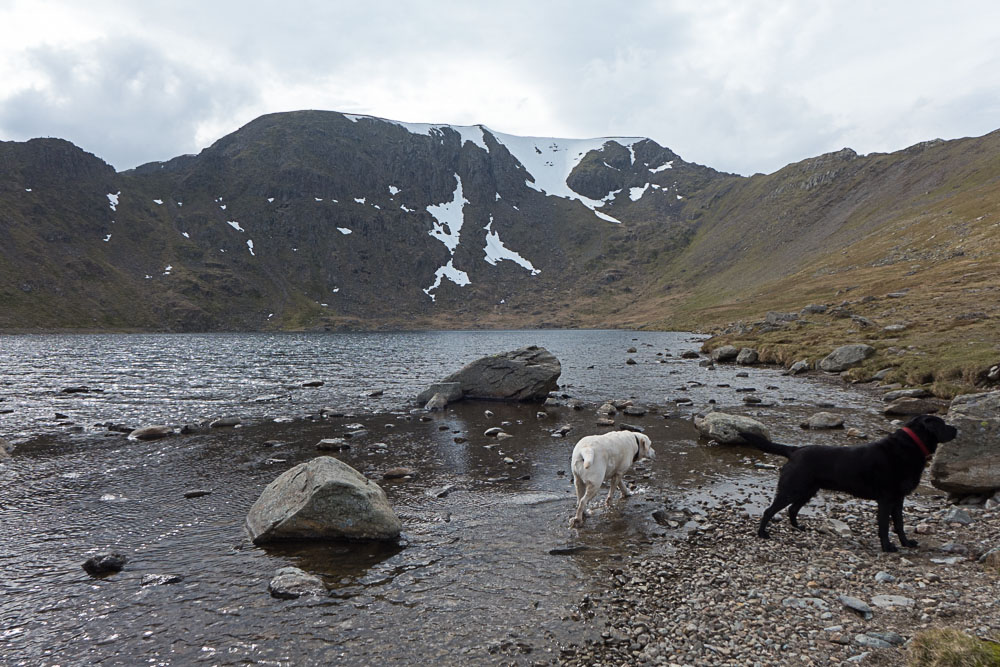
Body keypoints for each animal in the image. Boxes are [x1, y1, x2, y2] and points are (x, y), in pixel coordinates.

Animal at [744, 418, 960, 552]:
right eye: (942, 424)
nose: (956, 429)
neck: (909, 446)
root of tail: (795, 450)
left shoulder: (898, 499)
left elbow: (899, 524)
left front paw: (906, 543)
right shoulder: (886, 499)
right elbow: (884, 526)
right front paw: (888, 547)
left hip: (807, 491)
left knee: (792, 509)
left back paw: (798, 527)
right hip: (792, 489)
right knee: (770, 511)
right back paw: (762, 533)